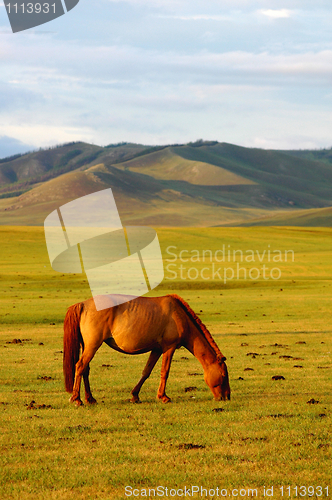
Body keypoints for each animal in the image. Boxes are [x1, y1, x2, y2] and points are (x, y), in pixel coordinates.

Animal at [62, 292, 230, 406]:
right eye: (223, 375)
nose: (226, 397)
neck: (179, 315)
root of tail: (83, 304)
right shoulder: (169, 348)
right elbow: (165, 372)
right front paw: (163, 397)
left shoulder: (157, 349)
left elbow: (146, 372)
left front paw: (135, 396)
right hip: (93, 346)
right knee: (80, 366)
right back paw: (77, 399)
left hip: (87, 346)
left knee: (85, 369)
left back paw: (90, 398)